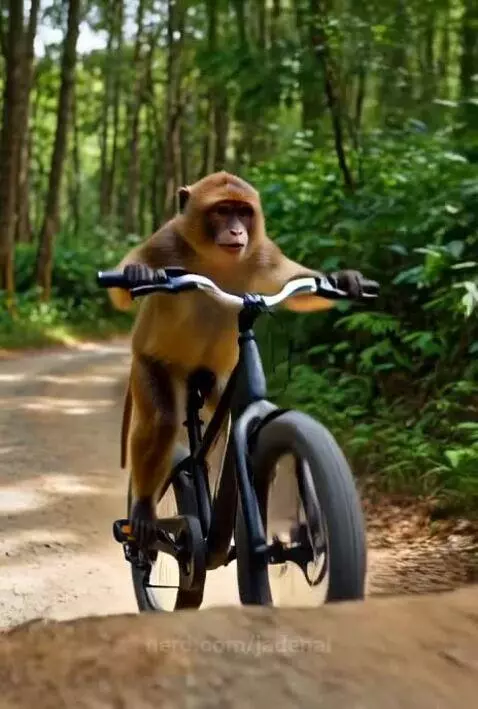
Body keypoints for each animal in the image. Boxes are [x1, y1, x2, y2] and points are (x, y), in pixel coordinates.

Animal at [108, 171, 369, 548]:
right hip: (147, 362)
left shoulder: (262, 252)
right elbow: (121, 289)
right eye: (222, 211)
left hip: (216, 375)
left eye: (243, 212)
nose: (236, 231)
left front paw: (342, 279)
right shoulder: (165, 243)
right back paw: (143, 510)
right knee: (161, 419)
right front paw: (137, 274)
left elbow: (297, 285)